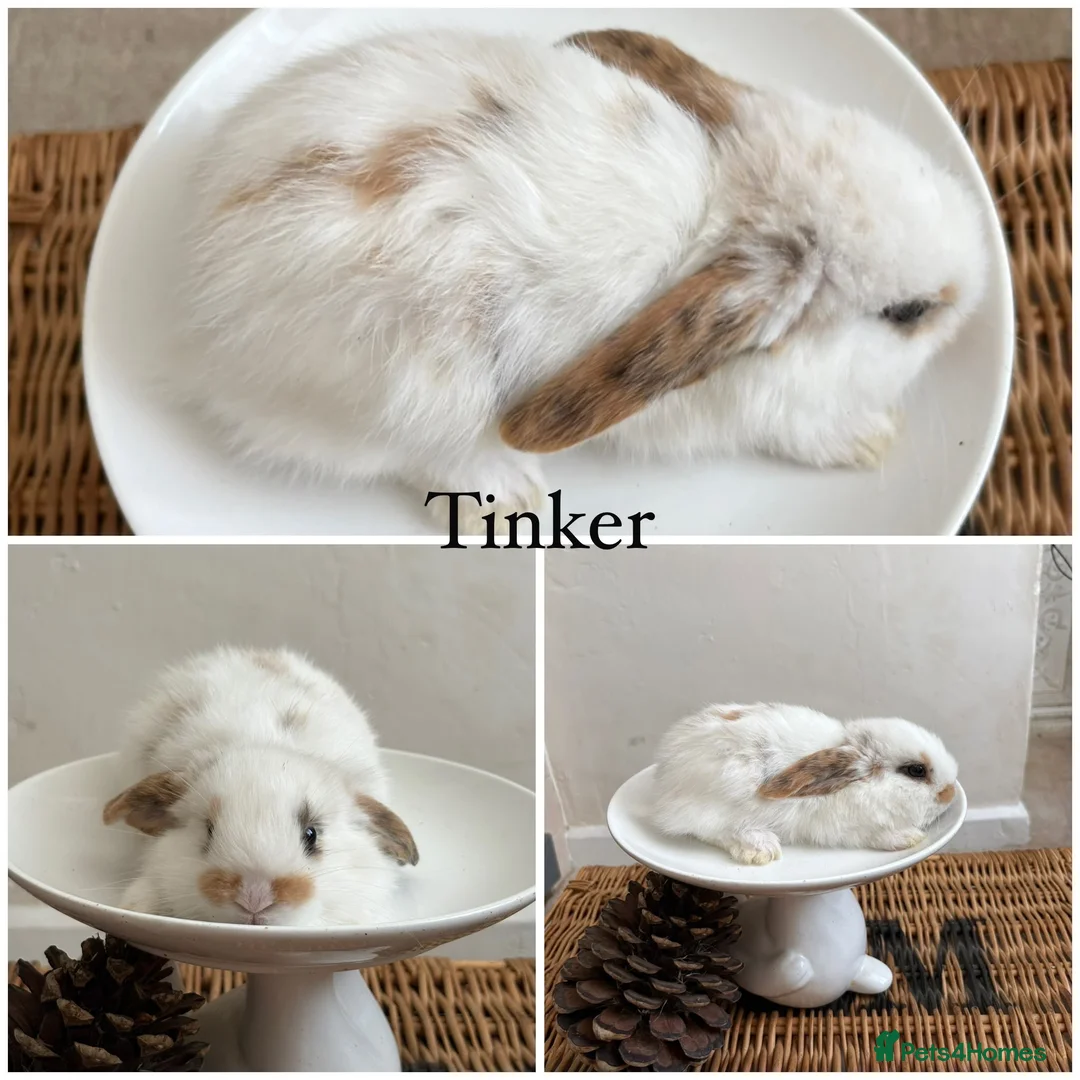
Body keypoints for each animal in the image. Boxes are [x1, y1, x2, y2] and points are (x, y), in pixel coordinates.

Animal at [177, 28, 988, 532]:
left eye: (917, 162)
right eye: (907, 312)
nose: (979, 287)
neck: (721, 208)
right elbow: (803, 426)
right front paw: (873, 438)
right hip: (413, 397)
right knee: (424, 460)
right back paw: (511, 496)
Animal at [651, 702, 958, 864]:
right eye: (916, 770)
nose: (951, 793)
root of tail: (665, 772)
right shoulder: (846, 829)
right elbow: (875, 835)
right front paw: (908, 837)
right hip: (717, 802)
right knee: (711, 831)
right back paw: (761, 848)